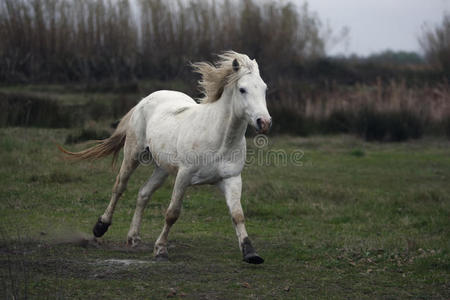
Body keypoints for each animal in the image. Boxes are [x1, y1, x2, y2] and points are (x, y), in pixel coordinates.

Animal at [59, 52, 270, 264]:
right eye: (242, 89)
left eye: (264, 88)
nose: (264, 122)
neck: (219, 139)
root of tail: (145, 99)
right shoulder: (184, 176)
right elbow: (172, 213)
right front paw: (160, 249)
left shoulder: (231, 179)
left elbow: (238, 215)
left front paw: (251, 253)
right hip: (133, 155)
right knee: (119, 187)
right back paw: (101, 227)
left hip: (162, 169)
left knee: (143, 193)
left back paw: (133, 238)